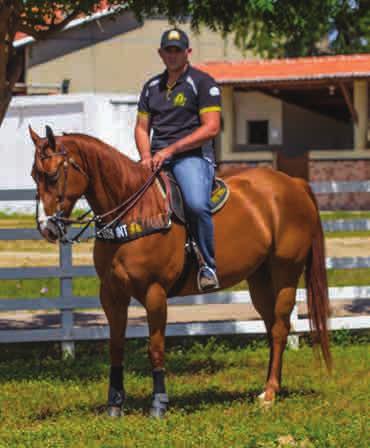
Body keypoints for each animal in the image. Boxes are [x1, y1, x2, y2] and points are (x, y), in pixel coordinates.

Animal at [28, 127, 330, 420]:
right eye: (34, 175)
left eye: (53, 175)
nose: (46, 228)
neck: (134, 213)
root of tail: (294, 184)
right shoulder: (112, 295)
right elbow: (116, 346)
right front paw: (114, 405)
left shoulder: (154, 293)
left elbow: (156, 348)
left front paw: (159, 404)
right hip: (259, 278)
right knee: (270, 326)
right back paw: (267, 387)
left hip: (285, 273)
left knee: (280, 328)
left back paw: (269, 394)